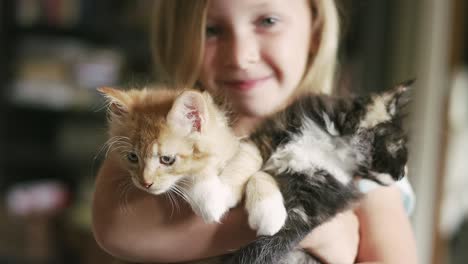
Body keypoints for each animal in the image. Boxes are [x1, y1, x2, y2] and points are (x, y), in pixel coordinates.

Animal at [98, 86, 286, 229]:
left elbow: (252, 162)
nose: (145, 184)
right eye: (132, 157)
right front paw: (209, 198)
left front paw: (267, 213)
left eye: (167, 159)